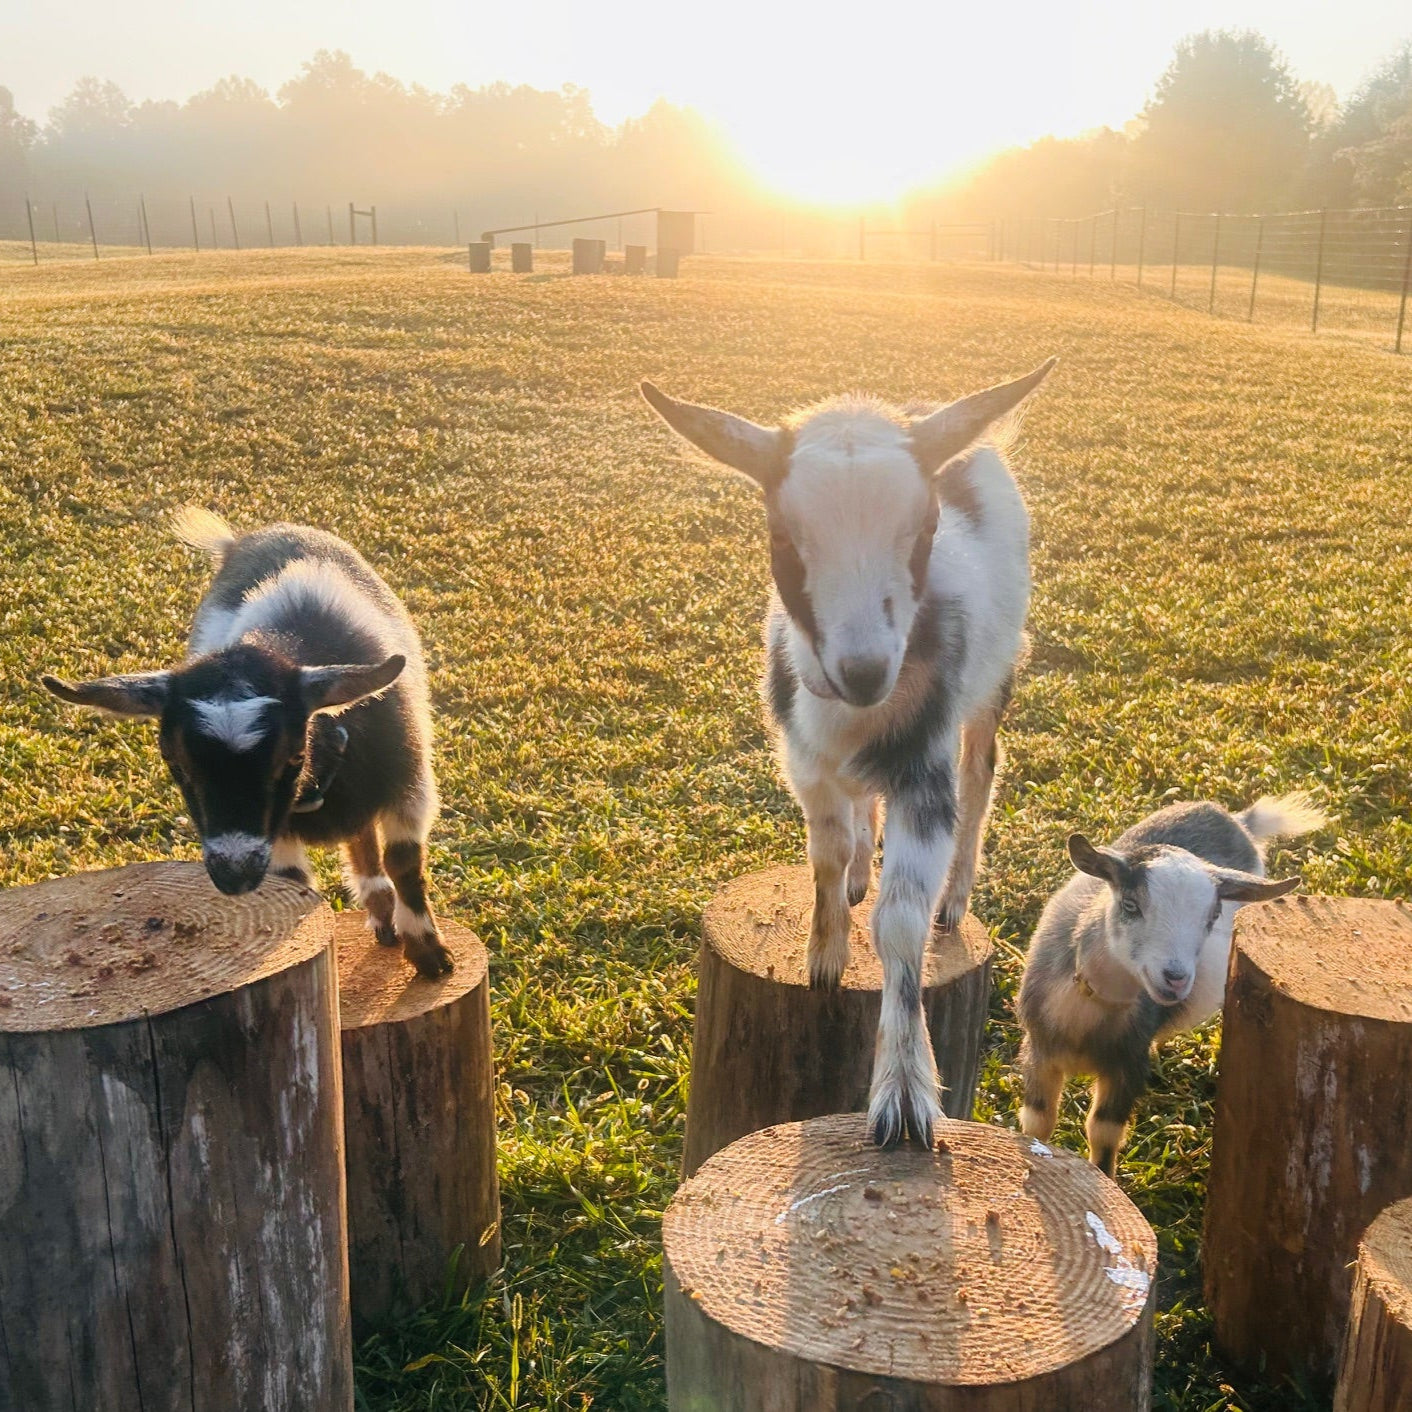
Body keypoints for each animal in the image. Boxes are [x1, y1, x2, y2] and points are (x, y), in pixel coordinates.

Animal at [41, 508, 452, 978]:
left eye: (293, 756)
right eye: (175, 762)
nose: (234, 876)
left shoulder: (410, 785)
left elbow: (404, 862)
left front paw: (429, 952)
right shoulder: (278, 836)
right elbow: (295, 885)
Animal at [643, 359, 1055, 1147]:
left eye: (925, 528)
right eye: (781, 533)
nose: (863, 672)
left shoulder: (923, 774)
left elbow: (901, 922)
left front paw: (903, 1096)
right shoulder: (804, 762)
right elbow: (826, 852)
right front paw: (826, 955)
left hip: (993, 682)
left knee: (982, 773)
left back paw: (955, 900)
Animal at [1017, 793, 1326, 1175]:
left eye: (1213, 917)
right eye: (1130, 904)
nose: (1175, 978)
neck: (1089, 1013)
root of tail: (1235, 819)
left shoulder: (1127, 1065)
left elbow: (1103, 1132)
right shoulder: (1038, 1049)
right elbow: (1038, 1122)